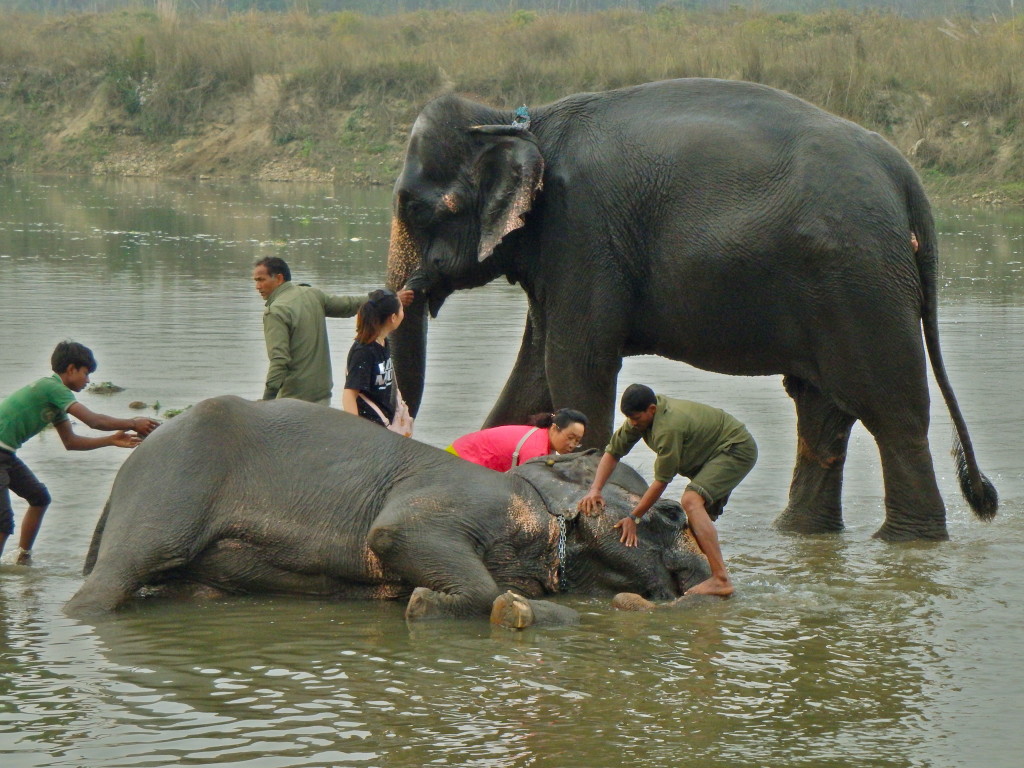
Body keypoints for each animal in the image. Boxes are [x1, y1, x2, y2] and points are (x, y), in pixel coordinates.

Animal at [65, 396, 709, 627]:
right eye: (668, 515)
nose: (708, 583)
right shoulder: (460, 499)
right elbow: (395, 533)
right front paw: (428, 604)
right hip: (172, 488)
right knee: (112, 582)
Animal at [384, 77, 997, 542]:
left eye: (416, 208)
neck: (521, 120)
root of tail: (907, 181)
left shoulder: (582, 234)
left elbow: (577, 367)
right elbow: (532, 379)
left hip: (862, 281)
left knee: (891, 412)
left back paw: (908, 540)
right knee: (822, 412)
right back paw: (799, 533)